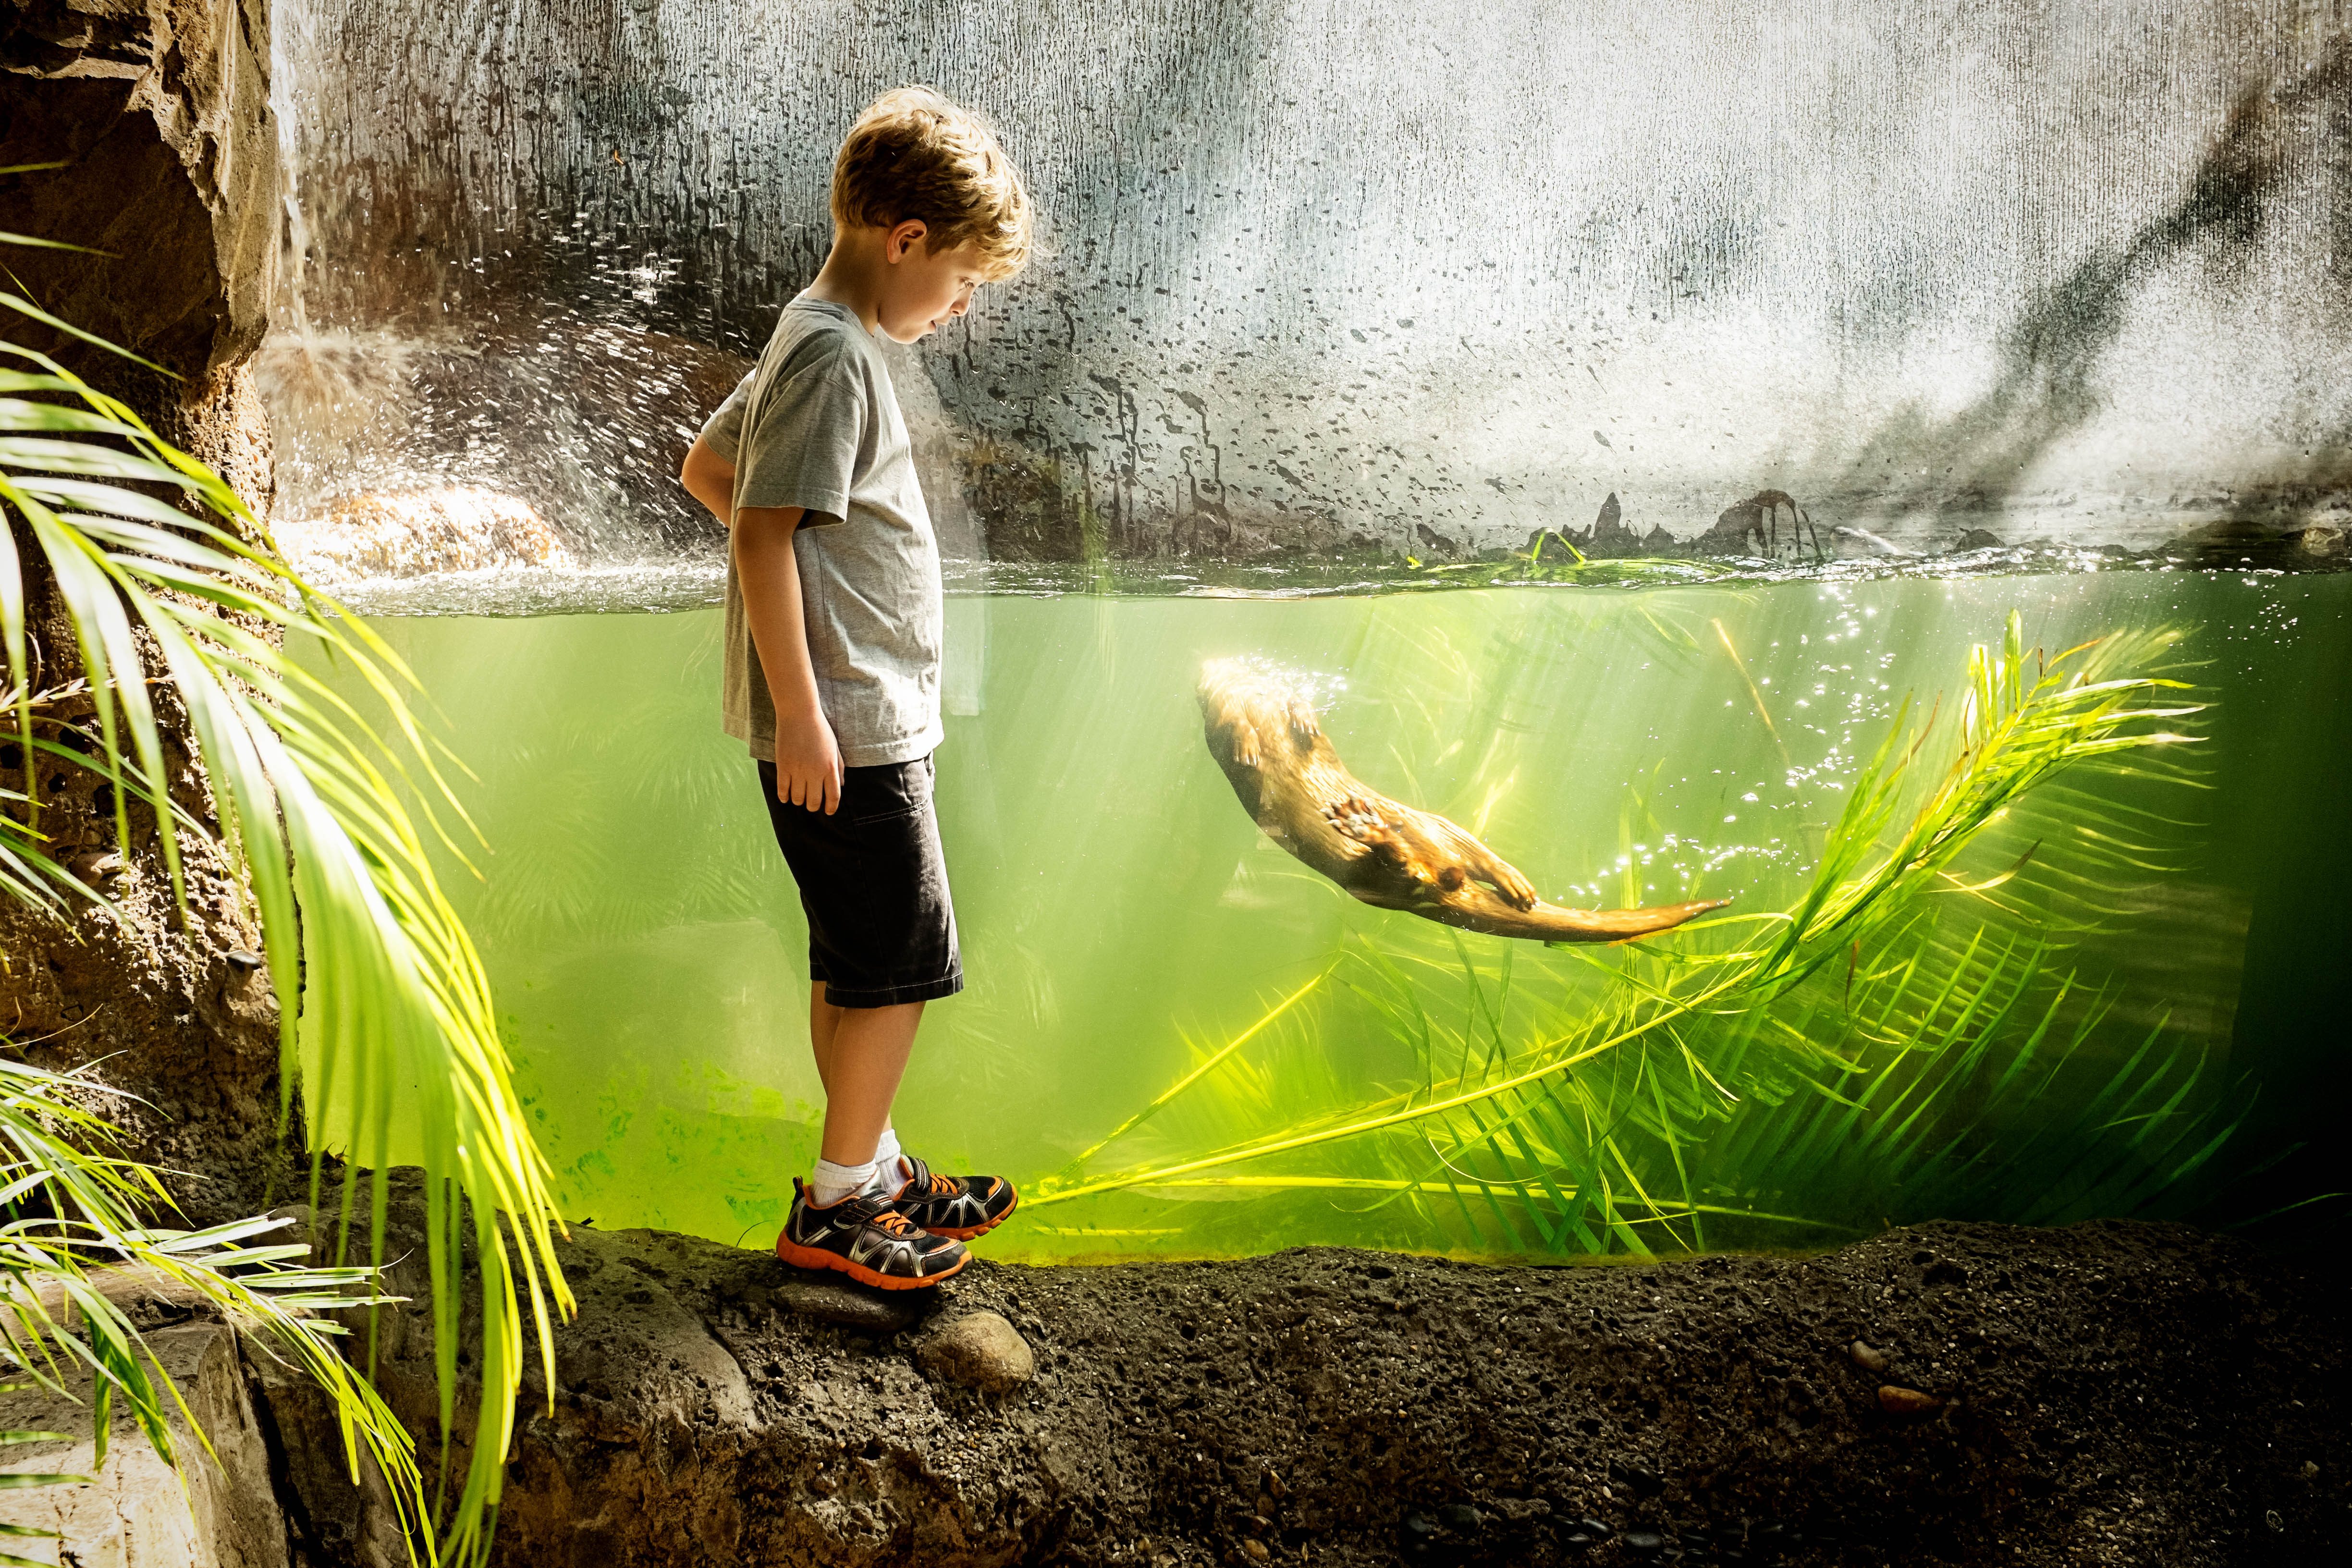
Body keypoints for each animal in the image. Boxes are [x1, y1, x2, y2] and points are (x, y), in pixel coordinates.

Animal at [1198, 658, 1729, 943]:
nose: (1217, 661)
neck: (1253, 696)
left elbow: (1302, 710)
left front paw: (1302, 719)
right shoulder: (1221, 712)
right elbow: (1232, 727)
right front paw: (1248, 749)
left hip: (1434, 824)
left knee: (1460, 860)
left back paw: (1512, 884)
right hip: (1368, 884)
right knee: (1417, 873)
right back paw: (1364, 827)